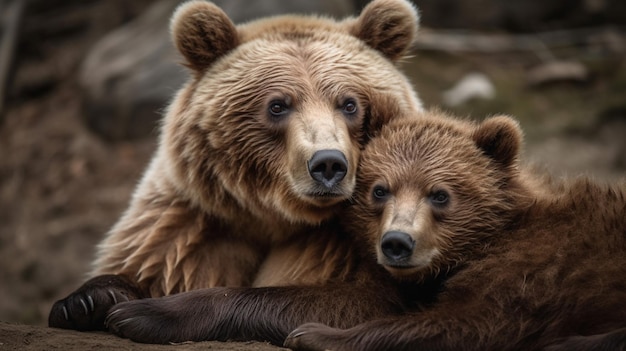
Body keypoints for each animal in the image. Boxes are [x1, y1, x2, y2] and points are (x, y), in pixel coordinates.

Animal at [47, 0, 420, 332]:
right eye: (277, 105)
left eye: (349, 104)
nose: (328, 163)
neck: (276, 216)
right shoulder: (193, 222)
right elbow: (150, 263)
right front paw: (85, 301)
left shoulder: (352, 244)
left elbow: (355, 301)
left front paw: (149, 313)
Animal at [286, 112, 624, 351]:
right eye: (380, 190)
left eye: (440, 194)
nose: (397, 242)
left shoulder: (534, 269)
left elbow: (469, 322)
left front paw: (314, 334)